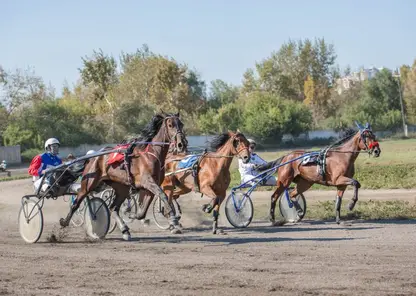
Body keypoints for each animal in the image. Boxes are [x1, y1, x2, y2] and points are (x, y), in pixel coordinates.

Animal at [58, 111, 187, 240]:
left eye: (181, 124)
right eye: (170, 125)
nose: (182, 144)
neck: (151, 154)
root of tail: (92, 157)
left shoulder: (150, 187)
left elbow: (143, 212)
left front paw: (134, 216)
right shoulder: (148, 182)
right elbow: (163, 195)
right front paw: (174, 219)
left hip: (122, 188)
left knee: (113, 208)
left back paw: (125, 230)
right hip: (88, 183)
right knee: (76, 203)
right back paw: (64, 222)